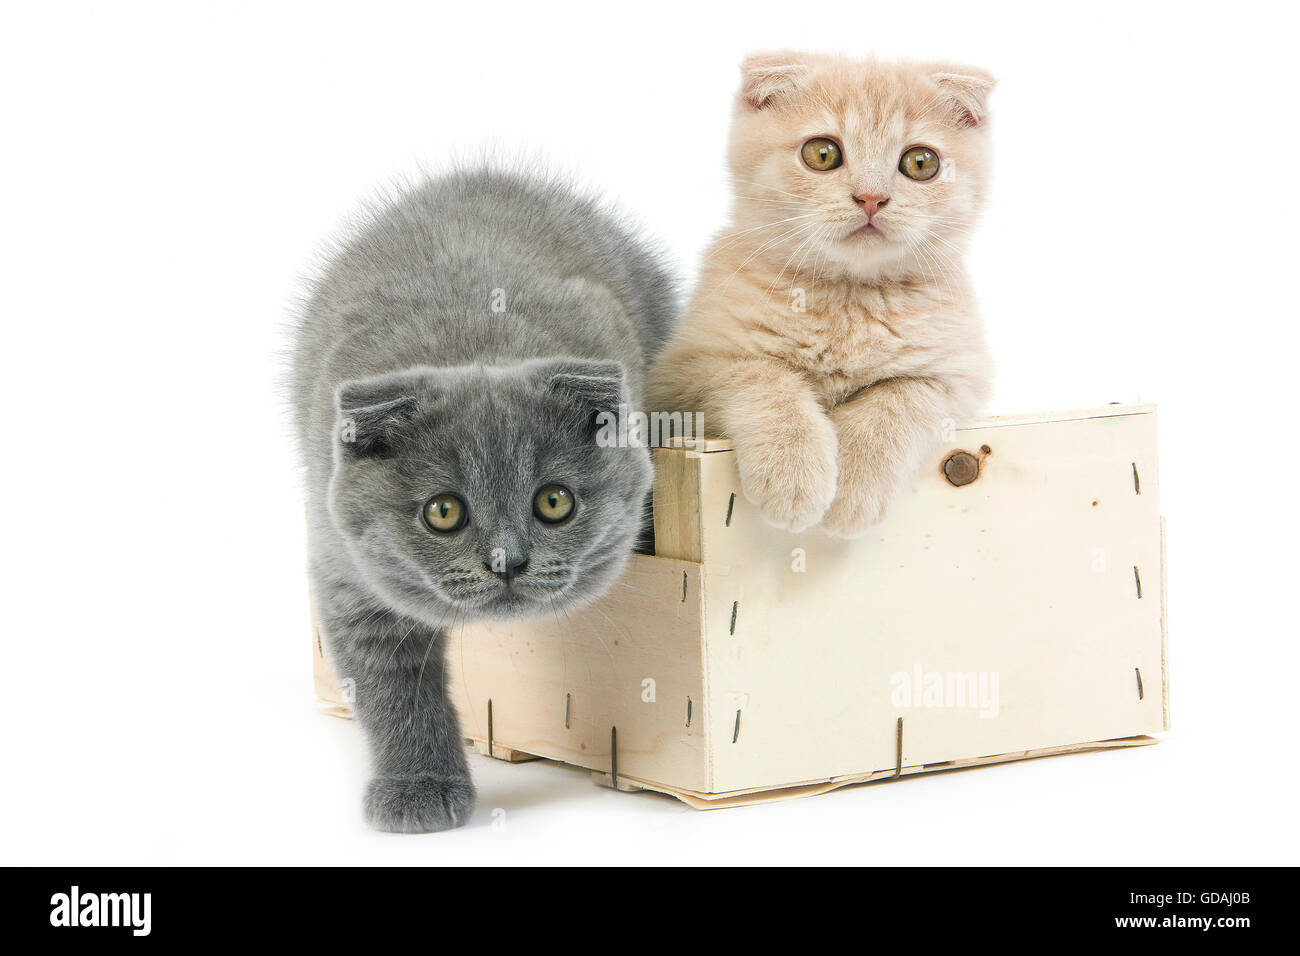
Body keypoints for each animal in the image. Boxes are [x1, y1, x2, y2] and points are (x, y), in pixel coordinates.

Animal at [289, 170, 676, 832]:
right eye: (443, 512)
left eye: (554, 502)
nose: (507, 561)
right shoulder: (347, 575)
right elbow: (393, 688)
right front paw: (418, 788)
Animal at [650, 52, 993, 538]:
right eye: (823, 153)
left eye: (920, 162)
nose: (871, 198)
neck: (848, 298)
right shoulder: (679, 374)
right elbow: (762, 377)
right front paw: (793, 470)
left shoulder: (958, 375)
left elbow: (898, 399)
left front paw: (854, 485)